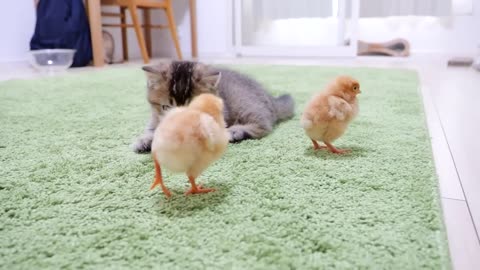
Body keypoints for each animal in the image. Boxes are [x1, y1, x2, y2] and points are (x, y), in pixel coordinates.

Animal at [133, 61, 294, 154]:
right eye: (166, 107)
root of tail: (271, 98)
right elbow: (153, 129)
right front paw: (146, 140)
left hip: (244, 102)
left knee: (264, 126)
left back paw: (236, 131)